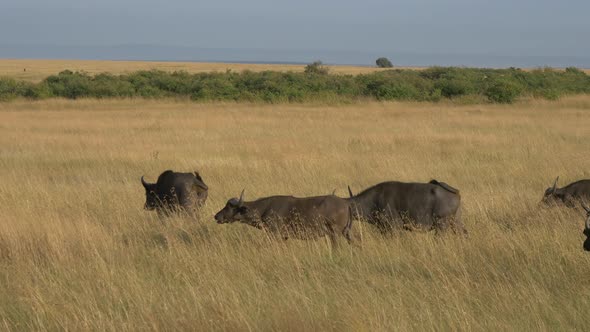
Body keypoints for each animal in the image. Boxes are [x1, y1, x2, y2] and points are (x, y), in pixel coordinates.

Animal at [215, 189, 354, 246]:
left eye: (229, 207)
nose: (216, 216)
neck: (263, 209)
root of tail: (346, 203)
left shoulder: (275, 234)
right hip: (346, 233)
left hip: (335, 234)